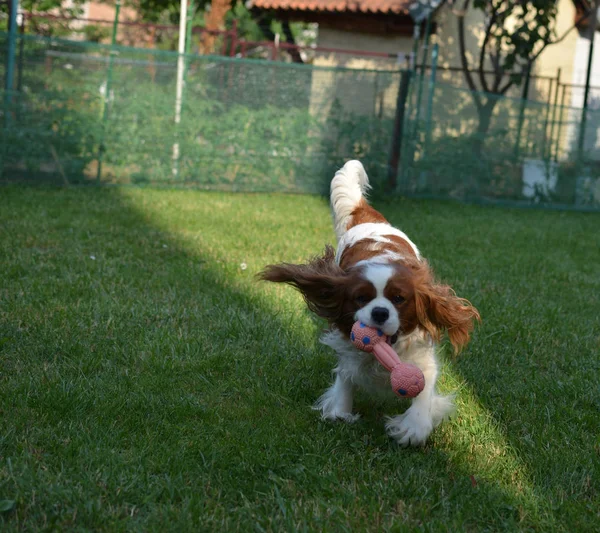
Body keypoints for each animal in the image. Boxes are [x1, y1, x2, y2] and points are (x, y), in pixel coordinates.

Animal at [260, 161, 480, 444]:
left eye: (398, 299)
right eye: (361, 298)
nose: (379, 313)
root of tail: (369, 217)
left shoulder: (422, 355)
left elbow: (424, 386)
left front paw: (413, 426)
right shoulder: (347, 343)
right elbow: (346, 373)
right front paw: (340, 410)